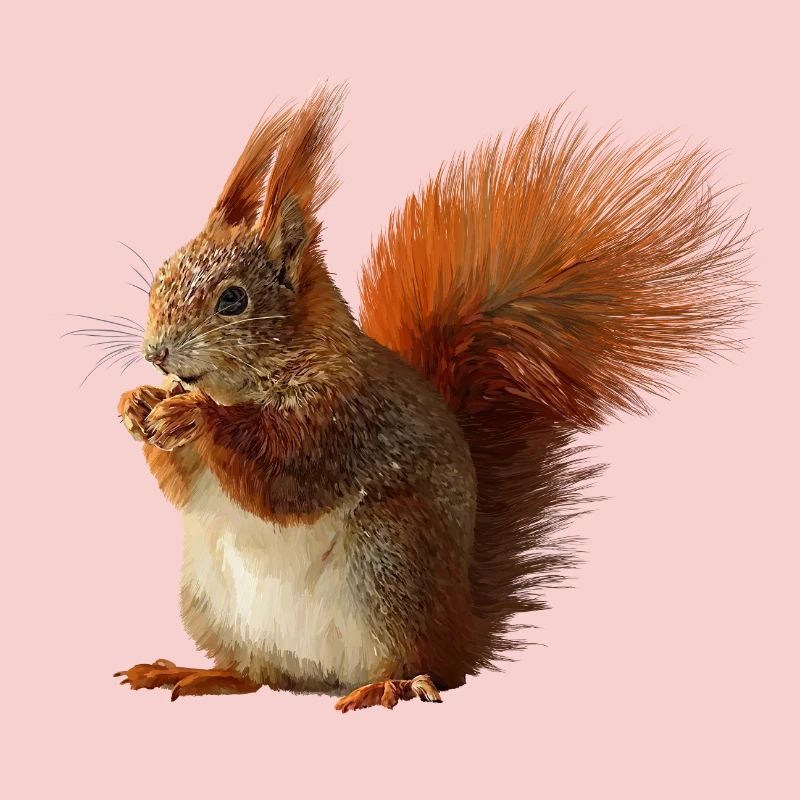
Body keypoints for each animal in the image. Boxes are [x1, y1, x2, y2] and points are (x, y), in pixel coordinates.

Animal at [111, 84, 750, 711]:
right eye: (162, 273)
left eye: (233, 300)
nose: (155, 353)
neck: (248, 385)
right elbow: (183, 486)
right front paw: (137, 403)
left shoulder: (343, 419)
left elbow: (283, 475)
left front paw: (194, 414)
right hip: (211, 600)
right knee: (260, 674)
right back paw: (198, 673)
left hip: (390, 561)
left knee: (426, 667)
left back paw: (388, 686)